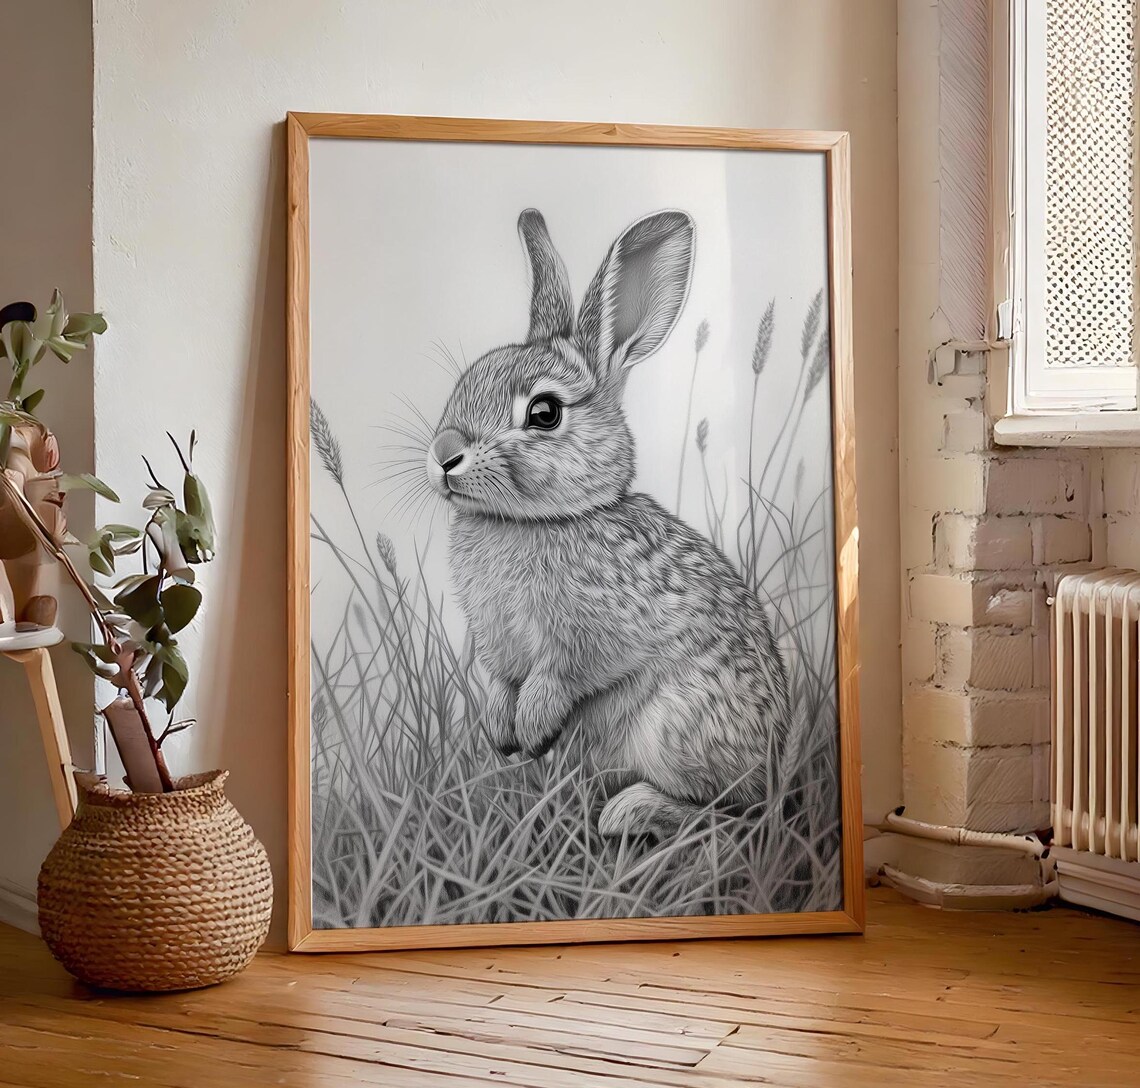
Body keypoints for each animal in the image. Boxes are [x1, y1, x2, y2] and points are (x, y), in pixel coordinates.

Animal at [425, 208, 793, 837]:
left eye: (543, 412)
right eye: (464, 383)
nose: (445, 454)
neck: (534, 521)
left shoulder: (590, 637)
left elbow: (562, 676)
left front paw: (532, 727)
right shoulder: (497, 649)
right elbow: (498, 684)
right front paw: (502, 733)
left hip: (676, 726)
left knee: (729, 812)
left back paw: (629, 812)